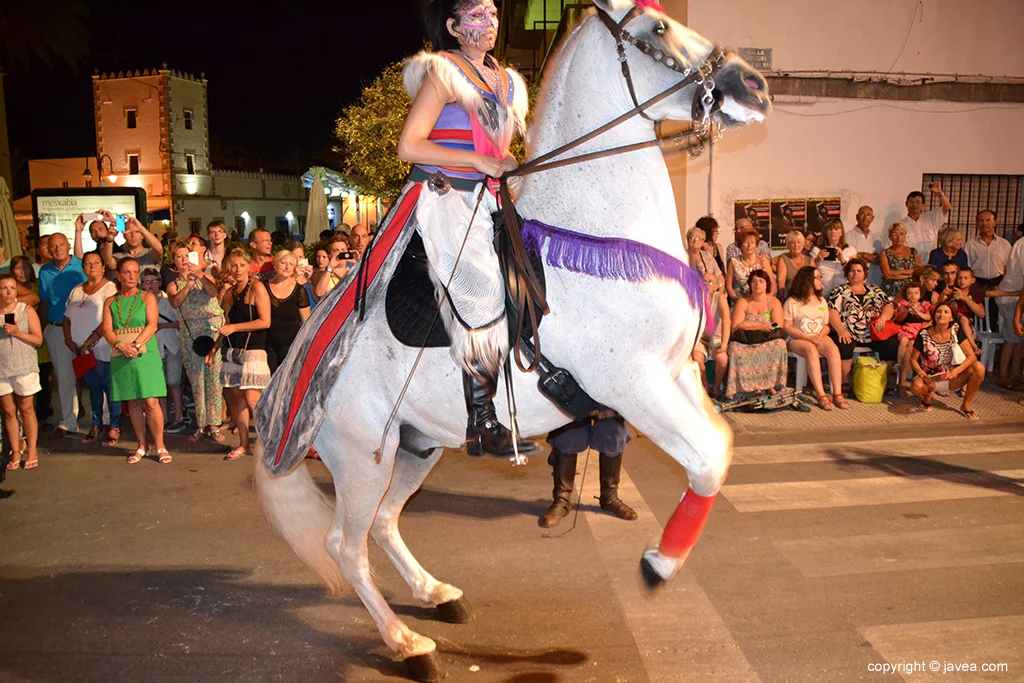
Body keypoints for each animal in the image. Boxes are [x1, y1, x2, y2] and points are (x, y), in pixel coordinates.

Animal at [253, 2, 770, 679]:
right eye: (657, 28)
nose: (753, 86)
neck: (593, 235)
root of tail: (297, 374)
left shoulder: (677, 373)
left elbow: (721, 446)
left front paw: (665, 555)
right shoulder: (633, 384)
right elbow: (707, 458)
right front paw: (658, 565)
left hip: (417, 446)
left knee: (386, 524)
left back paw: (437, 595)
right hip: (364, 457)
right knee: (347, 545)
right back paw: (407, 644)